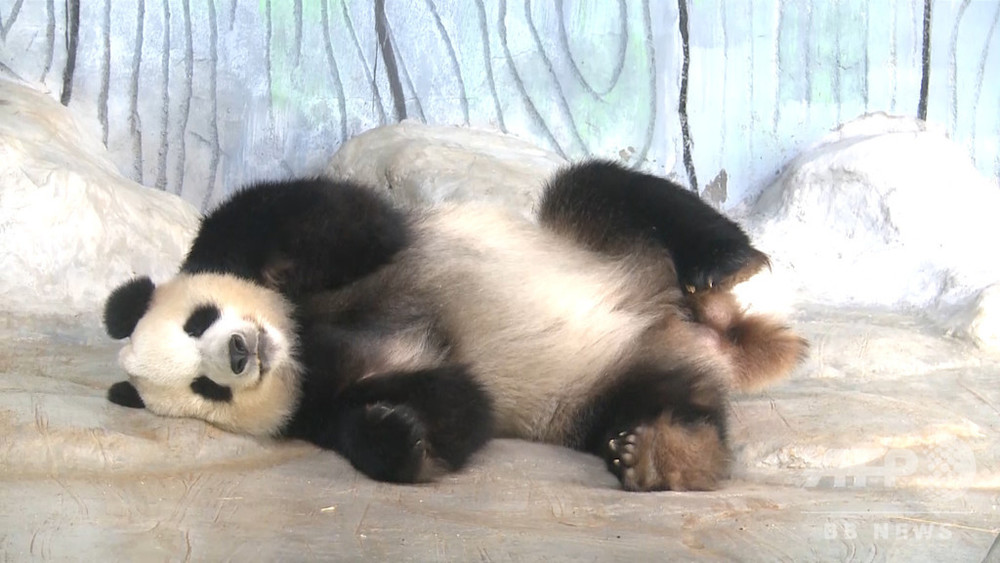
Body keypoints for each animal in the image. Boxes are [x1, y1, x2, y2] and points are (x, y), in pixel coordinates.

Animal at [103, 161, 804, 492]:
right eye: (204, 388)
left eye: (198, 322)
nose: (240, 352)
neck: (304, 339)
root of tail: (694, 328)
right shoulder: (320, 397)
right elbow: (461, 407)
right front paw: (399, 434)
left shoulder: (337, 256)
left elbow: (344, 219)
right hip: (608, 386)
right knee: (667, 400)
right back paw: (663, 455)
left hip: (609, 246)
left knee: (604, 188)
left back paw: (722, 264)